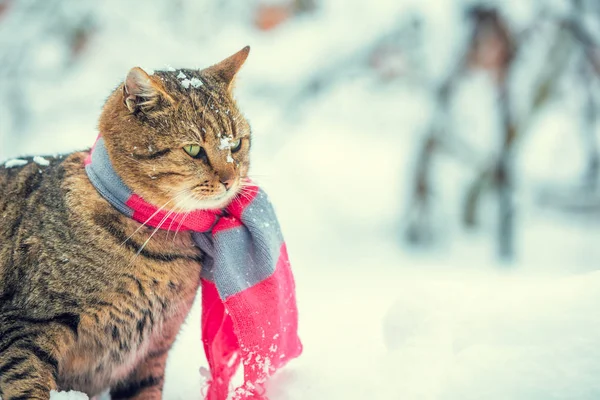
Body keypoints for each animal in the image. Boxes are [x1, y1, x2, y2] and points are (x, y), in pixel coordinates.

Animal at [0, 45, 252, 398]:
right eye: (193, 149)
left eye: (237, 144)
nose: (231, 179)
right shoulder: (26, 324)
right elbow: (25, 385)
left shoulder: (152, 351)